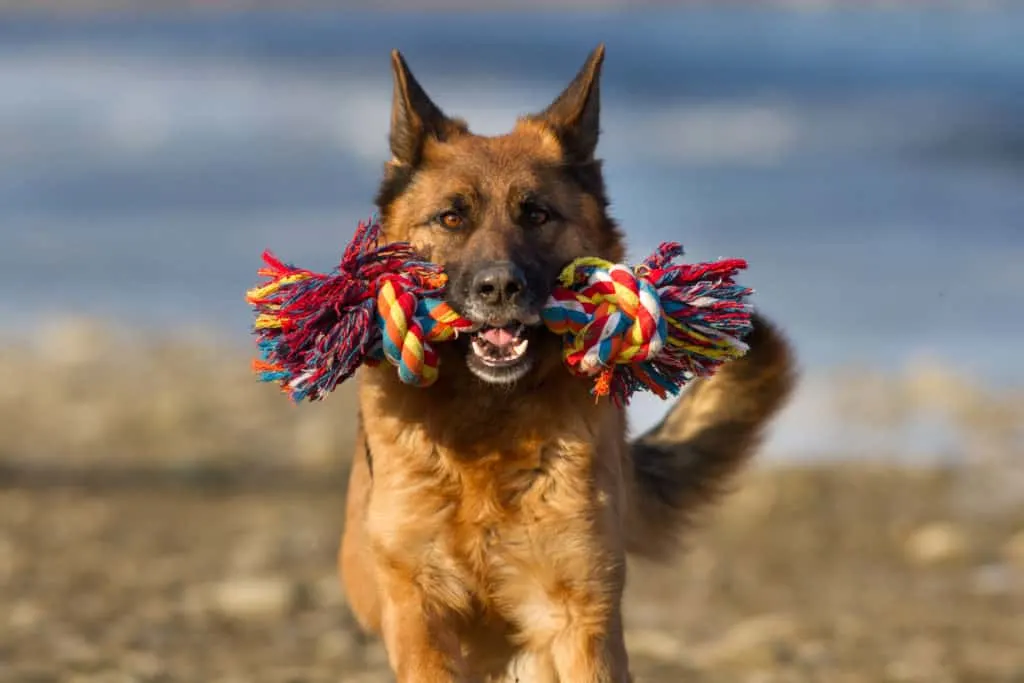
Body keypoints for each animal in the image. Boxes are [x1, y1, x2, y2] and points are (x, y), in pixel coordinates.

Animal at [339, 44, 794, 683]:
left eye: (536, 215)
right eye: (452, 218)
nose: (499, 288)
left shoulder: (579, 612)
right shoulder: (418, 607)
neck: (486, 426)